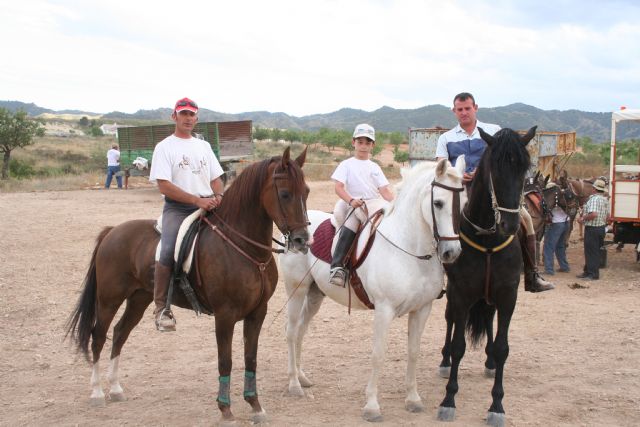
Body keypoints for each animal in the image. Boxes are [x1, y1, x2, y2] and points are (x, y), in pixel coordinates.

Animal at [66, 147, 312, 424]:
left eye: (306, 192)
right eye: (285, 194)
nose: (302, 240)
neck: (243, 248)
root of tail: (112, 231)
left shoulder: (257, 313)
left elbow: (251, 359)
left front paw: (255, 406)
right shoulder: (225, 315)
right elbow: (225, 360)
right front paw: (225, 409)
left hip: (139, 298)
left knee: (119, 333)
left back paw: (116, 389)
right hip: (109, 299)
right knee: (98, 336)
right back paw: (97, 392)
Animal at [280, 156, 464, 422]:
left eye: (463, 203)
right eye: (438, 203)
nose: (452, 252)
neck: (410, 250)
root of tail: (295, 234)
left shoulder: (422, 309)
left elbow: (413, 352)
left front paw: (413, 399)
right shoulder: (384, 311)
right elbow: (378, 355)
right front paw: (372, 406)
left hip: (315, 294)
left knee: (302, 330)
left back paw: (302, 377)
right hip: (297, 290)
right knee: (292, 331)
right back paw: (294, 384)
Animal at [438, 127, 536, 427]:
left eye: (524, 168)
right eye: (495, 168)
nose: (509, 224)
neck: (489, 240)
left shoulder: (508, 295)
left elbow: (503, 347)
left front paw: (497, 405)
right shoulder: (461, 293)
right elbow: (458, 345)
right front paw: (449, 400)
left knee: (490, 320)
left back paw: (490, 362)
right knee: (450, 322)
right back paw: (444, 362)